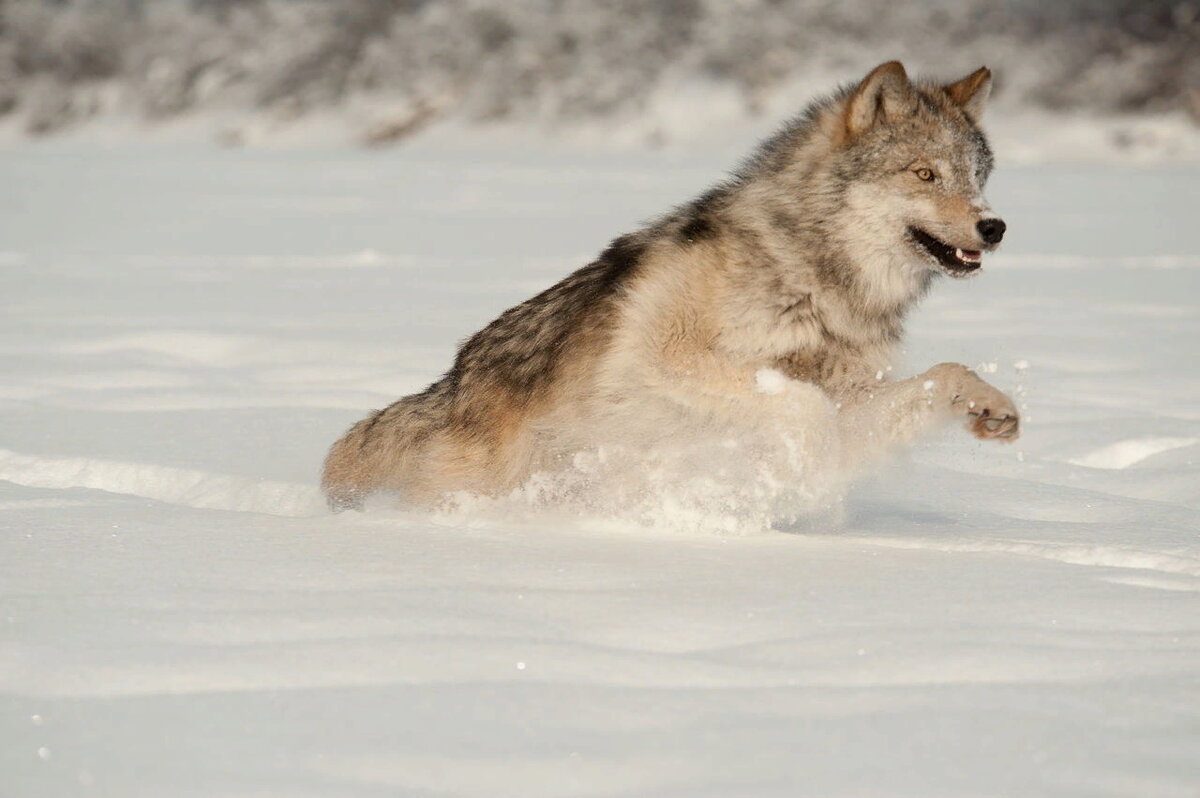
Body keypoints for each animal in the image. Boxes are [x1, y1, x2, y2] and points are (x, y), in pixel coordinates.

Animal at [324, 60, 1017, 511]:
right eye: (925, 174)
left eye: (977, 176)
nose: (995, 225)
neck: (812, 275)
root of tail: (450, 386)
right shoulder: (667, 356)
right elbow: (804, 408)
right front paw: (808, 464)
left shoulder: (853, 396)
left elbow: (943, 374)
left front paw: (989, 406)